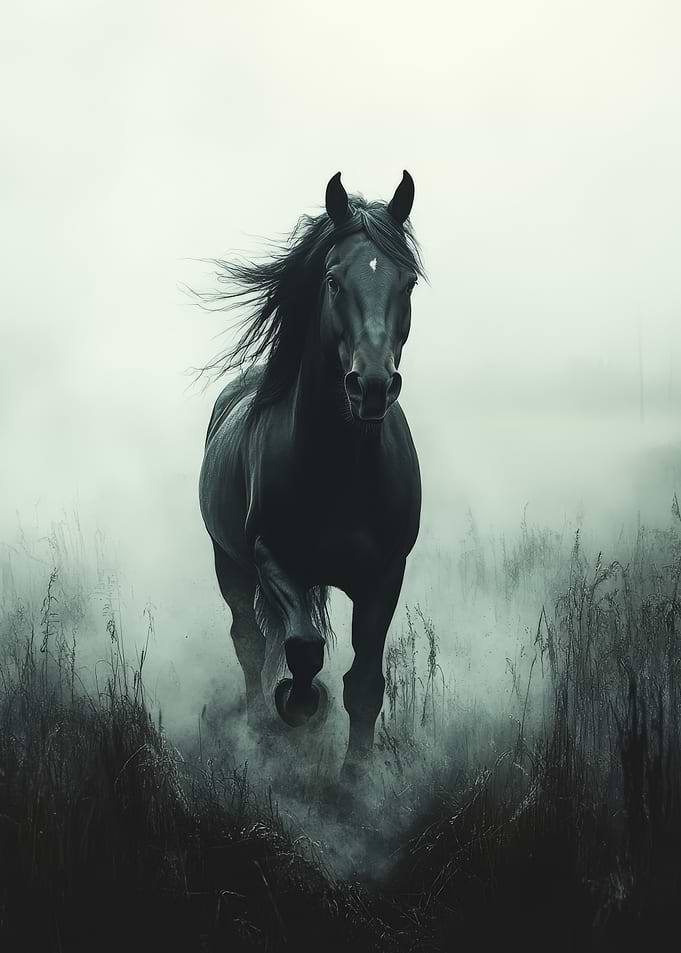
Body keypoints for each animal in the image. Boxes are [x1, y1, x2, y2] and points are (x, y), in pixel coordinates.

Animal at [199, 171, 425, 777]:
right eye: (332, 280)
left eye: (408, 282)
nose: (372, 387)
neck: (339, 468)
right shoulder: (270, 555)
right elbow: (302, 648)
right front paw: (300, 705)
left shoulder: (384, 575)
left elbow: (365, 683)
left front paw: (356, 779)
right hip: (229, 563)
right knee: (250, 640)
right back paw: (260, 726)